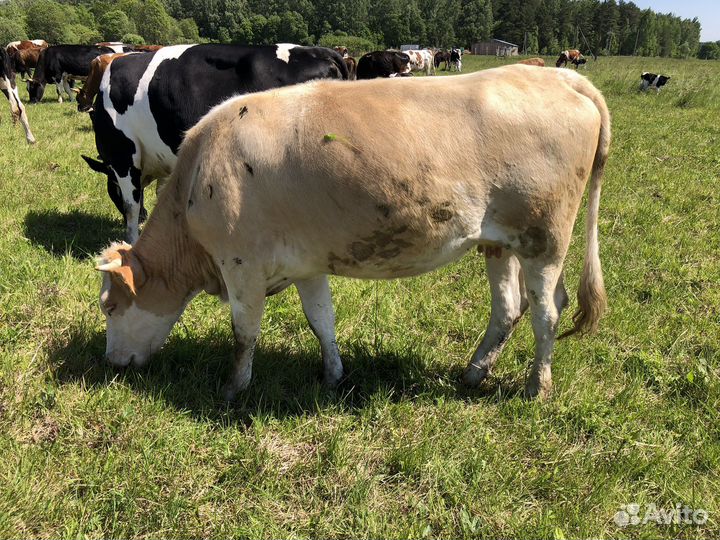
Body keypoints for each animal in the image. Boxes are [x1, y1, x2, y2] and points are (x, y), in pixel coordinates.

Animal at [95, 65, 610, 402]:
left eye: (111, 306)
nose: (111, 364)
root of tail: (560, 76)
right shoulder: (305, 263)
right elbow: (321, 320)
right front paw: (333, 375)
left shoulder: (241, 263)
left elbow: (245, 333)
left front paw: (232, 389)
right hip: (499, 241)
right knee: (508, 307)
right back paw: (473, 373)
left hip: (544, 238)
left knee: (547, 310)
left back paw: (536, 387)